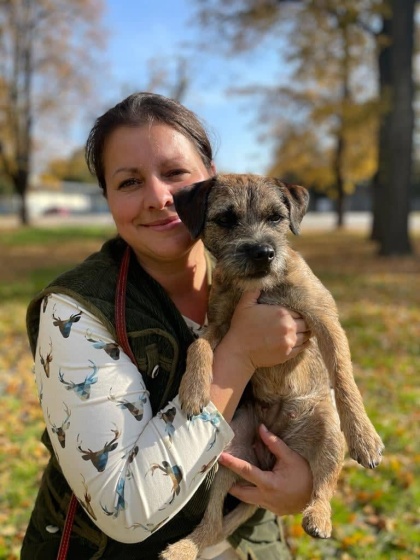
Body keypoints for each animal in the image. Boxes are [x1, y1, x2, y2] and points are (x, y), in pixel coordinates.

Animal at [160, 174, 384, 560]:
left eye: (276, 217)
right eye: (226, 219)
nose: (264, 252)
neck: (260, 288)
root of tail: (268, 456)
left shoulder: (323, 316)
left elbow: (342, 374)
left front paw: (364, 436)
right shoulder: (219, 325)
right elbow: (198, 345)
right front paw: (194, 389)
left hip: (328, 434)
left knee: (323, 482)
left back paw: (319, 516)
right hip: (227, 455)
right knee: (213, 524)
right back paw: (183, 548)